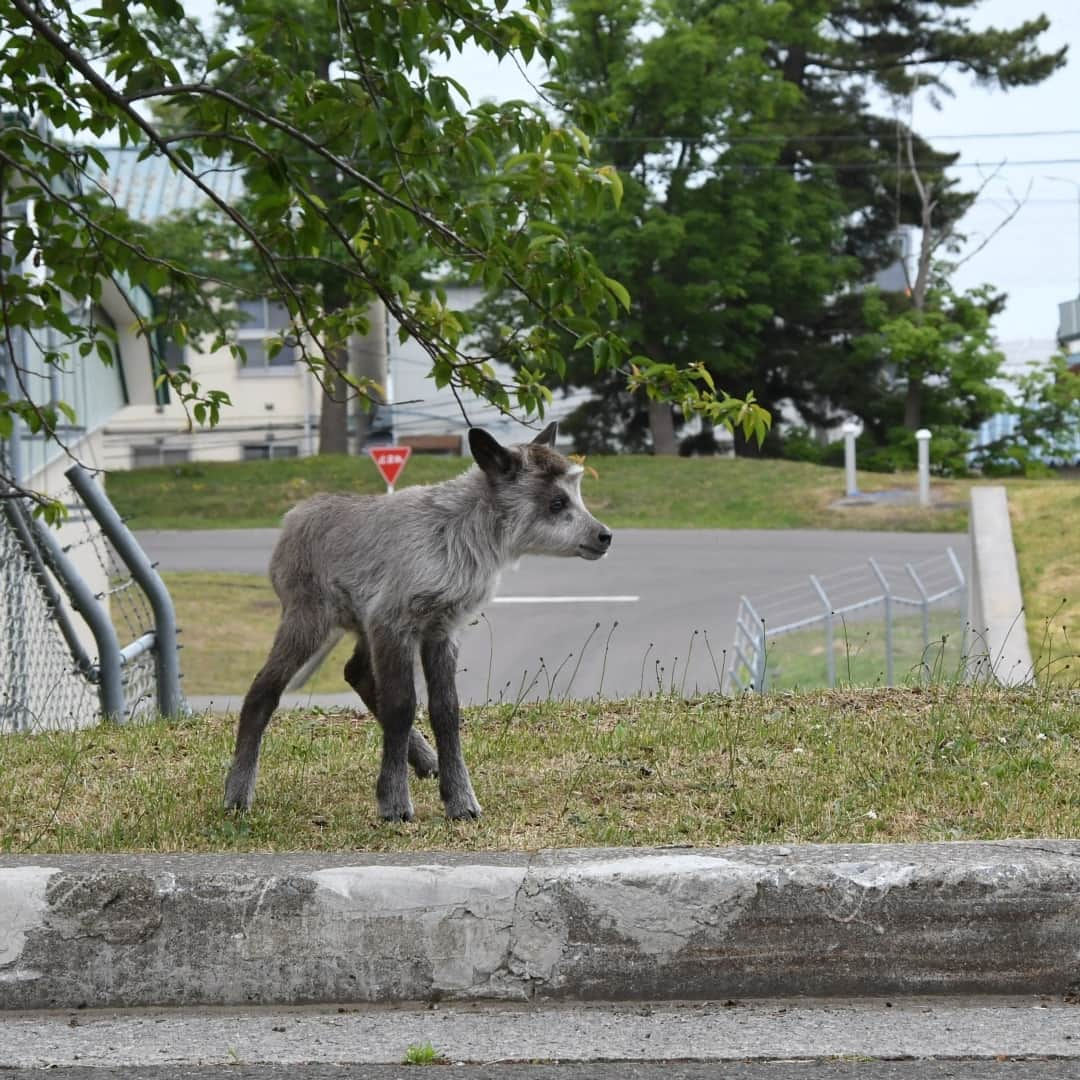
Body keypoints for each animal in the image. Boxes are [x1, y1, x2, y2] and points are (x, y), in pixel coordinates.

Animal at [223, 421, 613, 816]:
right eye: (556, 503)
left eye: (576, 494)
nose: (605, 536)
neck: (458, 537)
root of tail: (292, 518)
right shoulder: (394, 623)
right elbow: (401, 705)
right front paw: (394, 803)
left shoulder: (441, 630)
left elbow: (446, 710)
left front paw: (460, 800)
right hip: (309, 618)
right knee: (263, 690)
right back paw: (237, 795)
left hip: (360, 626)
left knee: (356, 674)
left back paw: (428, 762)